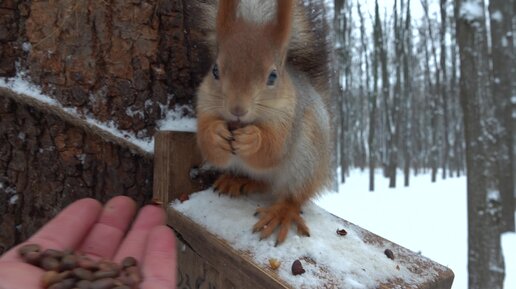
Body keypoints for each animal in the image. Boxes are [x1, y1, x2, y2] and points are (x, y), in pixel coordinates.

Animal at [196, 0, 332, 245]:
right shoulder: (204, 104)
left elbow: (273, 149)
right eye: (215, 70)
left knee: (292, 195)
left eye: (273, 76)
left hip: (307, 160)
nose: (237, 110)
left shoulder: (289, 118)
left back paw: (282, 212)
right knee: (263, 182)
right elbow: (209, 147)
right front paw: (215, 134)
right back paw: (238, 180)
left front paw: (253, 140)